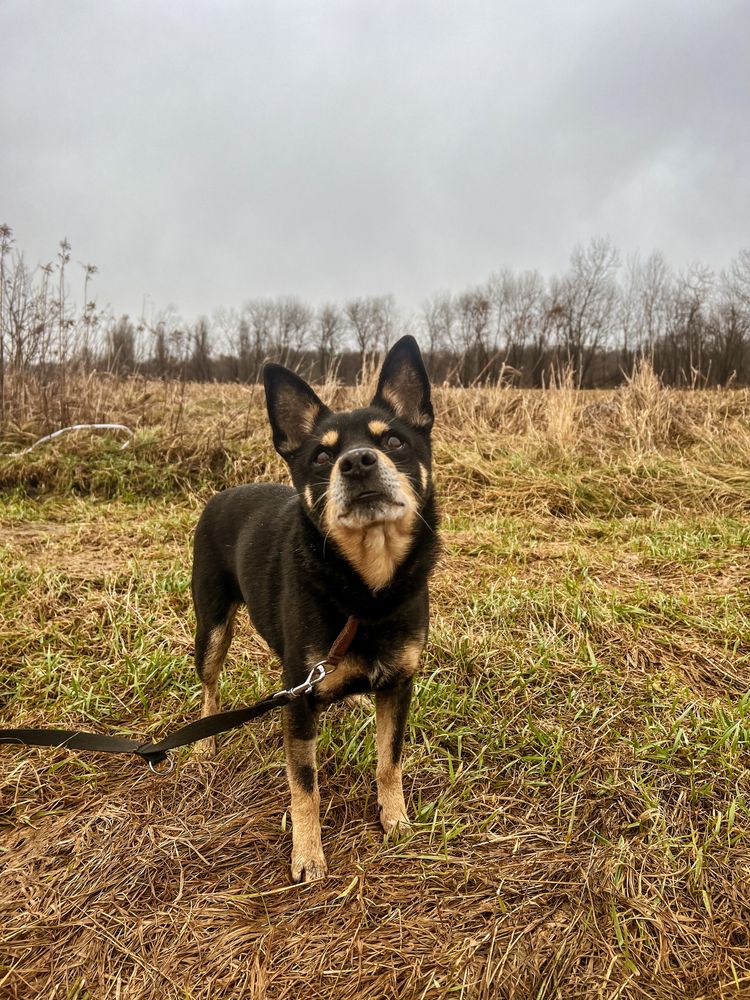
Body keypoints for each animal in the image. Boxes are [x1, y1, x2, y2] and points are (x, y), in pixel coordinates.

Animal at [191, 336, 440, 884]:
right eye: (323, 455)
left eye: (394, 442)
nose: (358, 462)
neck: (365, 592)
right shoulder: (300, 701)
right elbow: (304, 785)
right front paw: (307, 853)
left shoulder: (398, 684)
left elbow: (388, 761)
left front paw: (395, 820)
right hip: (212, 627)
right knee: (210, 684)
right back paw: (202, 744)